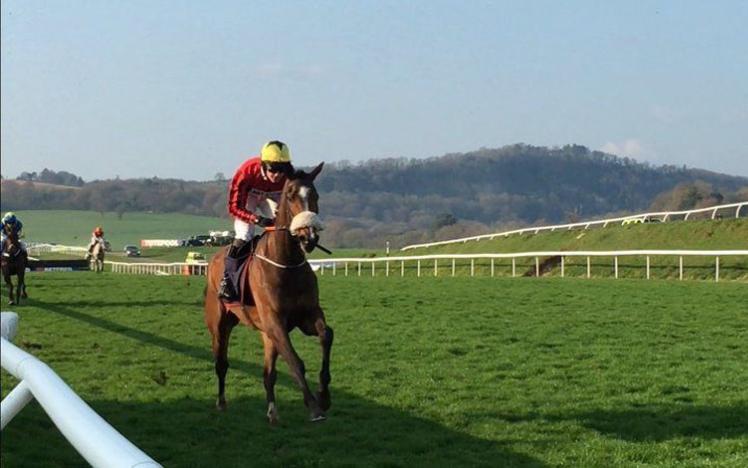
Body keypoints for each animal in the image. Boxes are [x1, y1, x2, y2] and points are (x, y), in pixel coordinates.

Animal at [205, 165, 334, 424]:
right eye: (291, 194)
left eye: (315, 195)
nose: (309, 236)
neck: (286, 263)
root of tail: (213, 259)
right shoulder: (275, 322)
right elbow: (295, 361)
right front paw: (314, 407)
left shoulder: (306, 316)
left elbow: (327, 335)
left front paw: (324, 396)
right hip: (220, 324)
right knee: (221, 363)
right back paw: (222, 402)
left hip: (265, 333)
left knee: (268, 373)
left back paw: (272, 411)